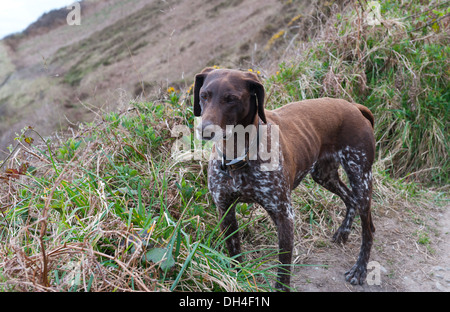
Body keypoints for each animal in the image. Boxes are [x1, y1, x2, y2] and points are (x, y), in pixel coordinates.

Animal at [193, 67, 376, 292]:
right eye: (204, 96)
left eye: (231, 99)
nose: (205, 130)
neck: (239, 156)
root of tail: (353, 107)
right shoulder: (225, 211)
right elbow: (235, 255)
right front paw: (239, 280)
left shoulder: (284, 215)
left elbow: (283, 267)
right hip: (324, 176)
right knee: (350, 200)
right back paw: (343, 232)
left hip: (361, 177)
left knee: (368, 228)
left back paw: (360, 269)